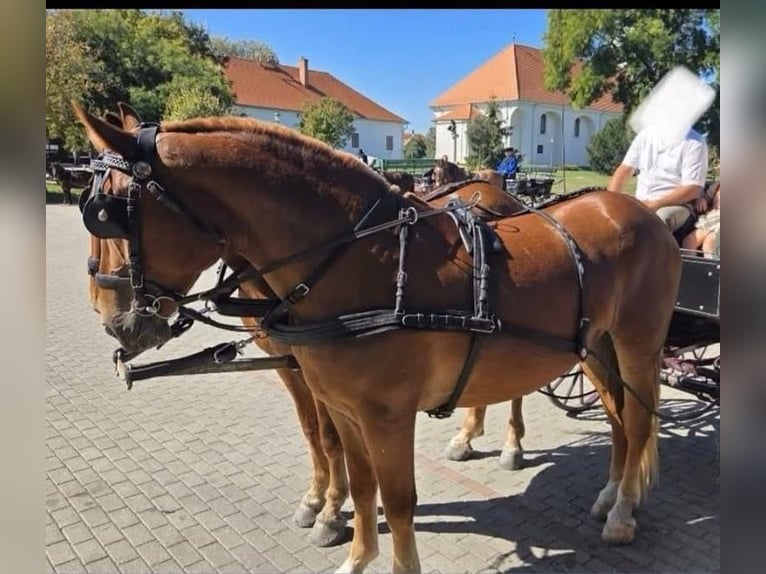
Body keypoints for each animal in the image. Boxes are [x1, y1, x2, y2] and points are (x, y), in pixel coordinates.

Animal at [73, 104, 681, 574]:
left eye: (106, 213)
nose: (111, 316)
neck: (358, 258)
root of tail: (641, 212)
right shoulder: (341, 404)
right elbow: (359, 481)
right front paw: (345, 537)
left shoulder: (387, 415)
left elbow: (397, 498)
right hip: (596, 347)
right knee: (620, 419)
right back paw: (610, 494)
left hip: (637, 343)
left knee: (640, 420)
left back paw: (621, 511)